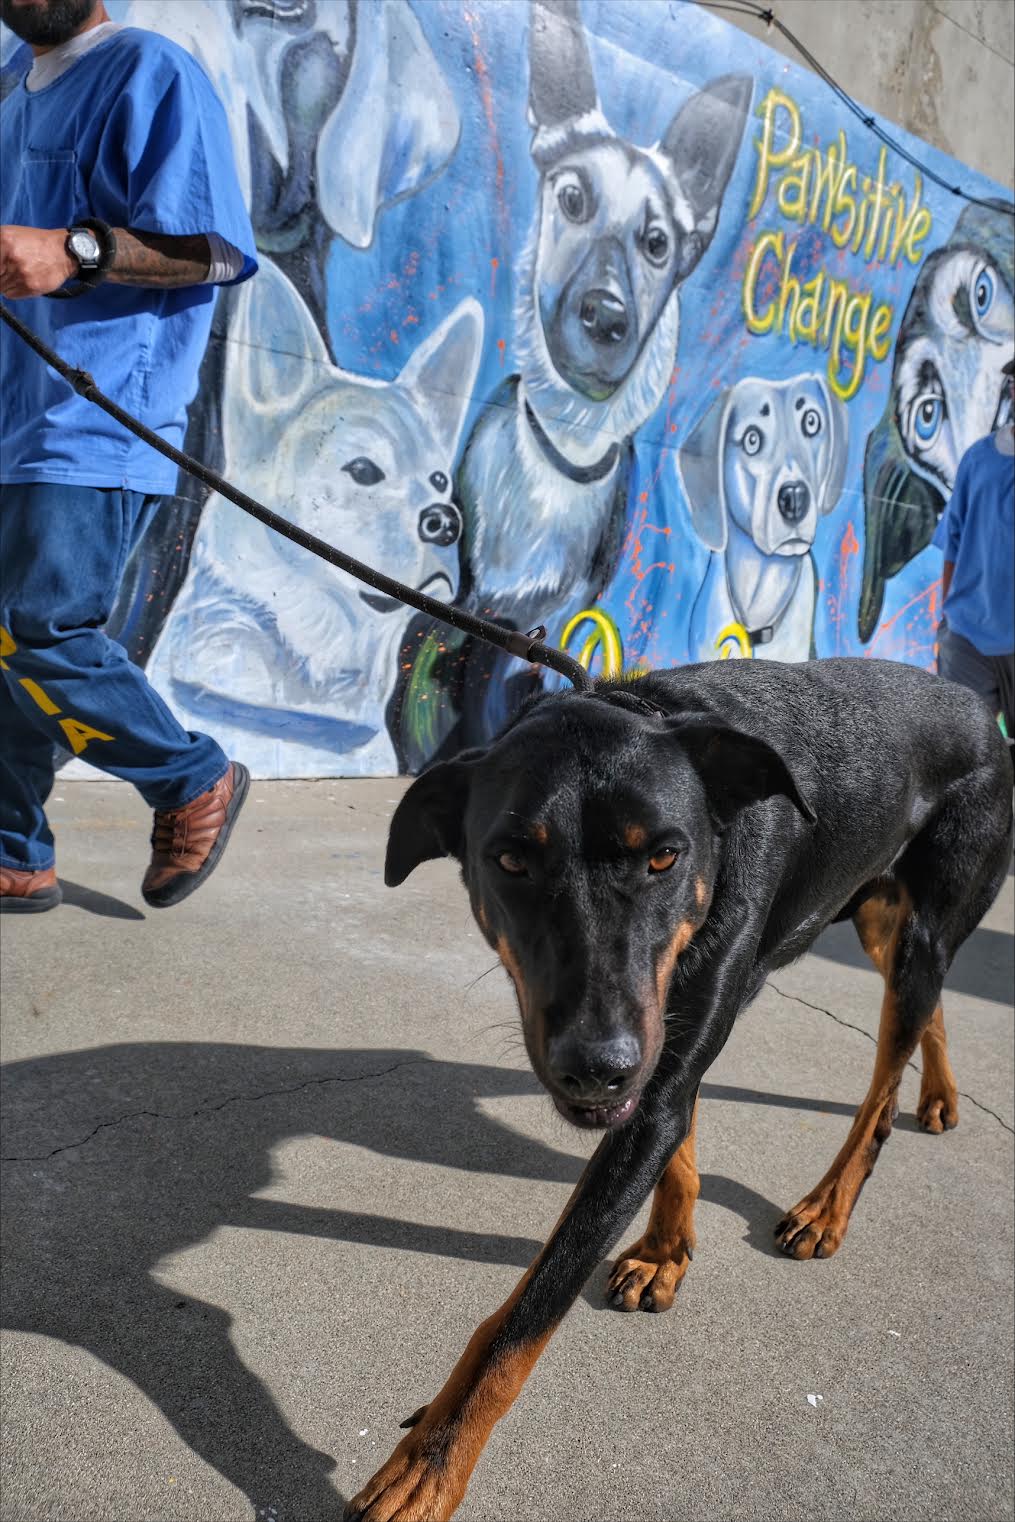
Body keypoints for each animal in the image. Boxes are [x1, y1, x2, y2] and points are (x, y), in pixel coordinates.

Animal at [345, 656, 1012, 1521]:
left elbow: (526, 1312)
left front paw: (427, 1467)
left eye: (665, 856)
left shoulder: (658, 1059)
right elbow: (675, 1136)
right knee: (926, 1013)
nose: (596, 1065)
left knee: (880, 1089)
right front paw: (665, 1251)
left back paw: (826, 1207)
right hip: (873, 918)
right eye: (511, 861)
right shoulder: (661, 1051)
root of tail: (974, 705)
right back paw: (939, 1097)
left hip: (923, 925)